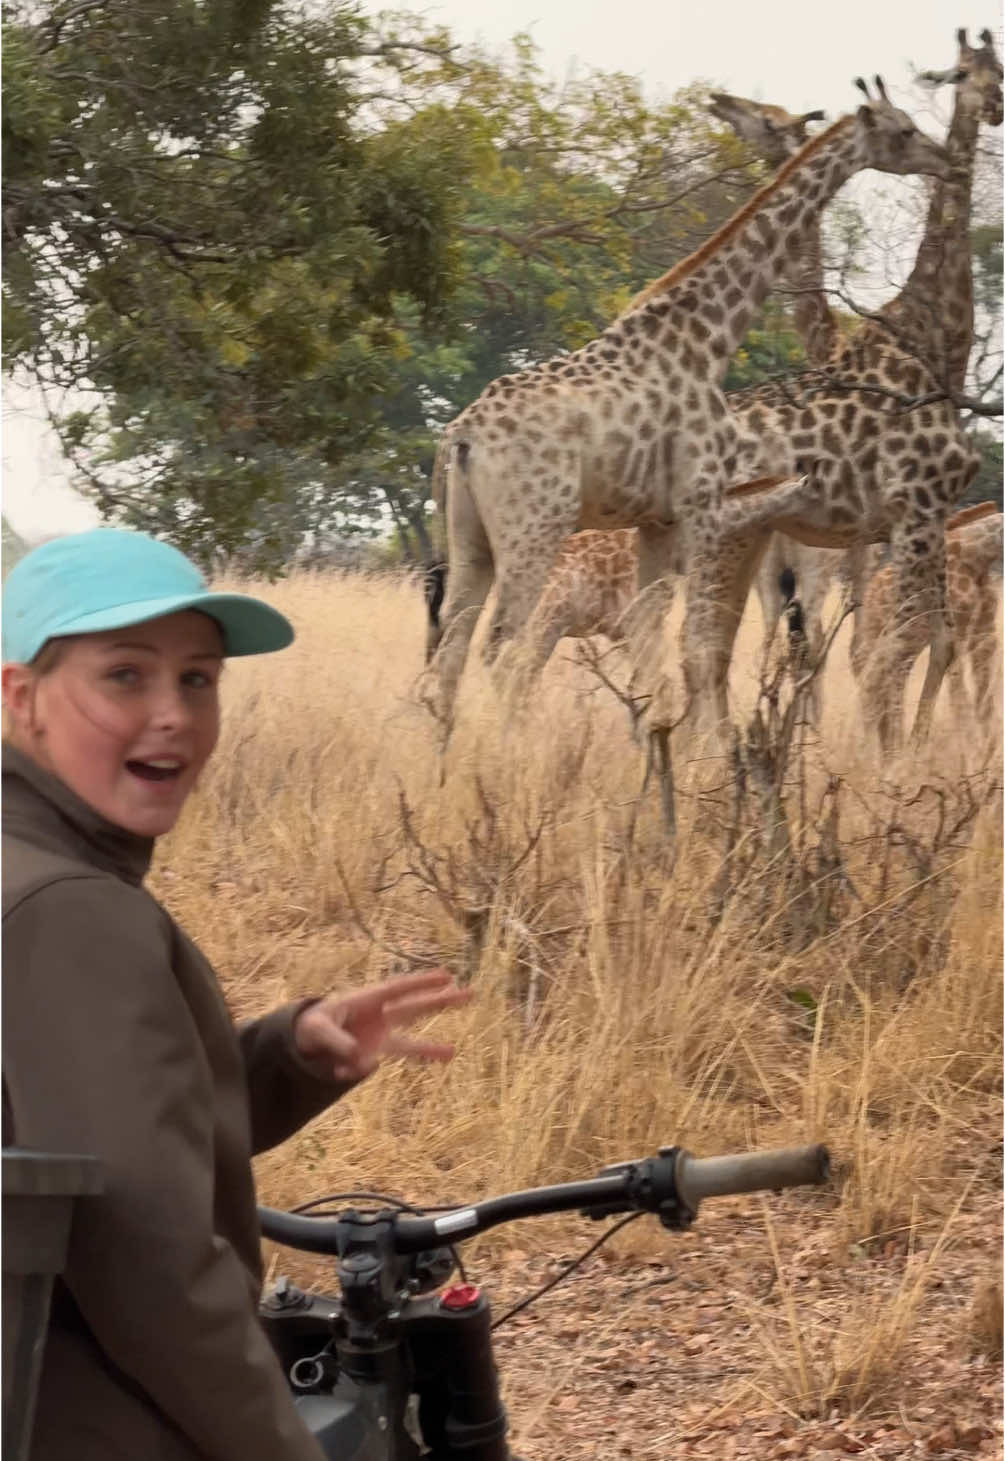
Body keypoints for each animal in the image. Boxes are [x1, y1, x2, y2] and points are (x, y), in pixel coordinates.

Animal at [423, 78, 952, 742]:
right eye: (903, 130)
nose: (944, 159)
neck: (707, 339)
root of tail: (460, 437)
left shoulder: (658, 520)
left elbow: (652, 642)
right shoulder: (701, 507)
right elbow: (692, 644)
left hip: (470, 537)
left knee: (451, 649)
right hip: (535, 527)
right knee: (503, 647)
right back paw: (510, 752)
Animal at [847, 502, 1005, 724]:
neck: (977, 555)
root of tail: (871, 591)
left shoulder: (985, 630)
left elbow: (984, 700)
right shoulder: (956, 630)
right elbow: (959, 695)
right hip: (888, 633)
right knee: (871, 673)